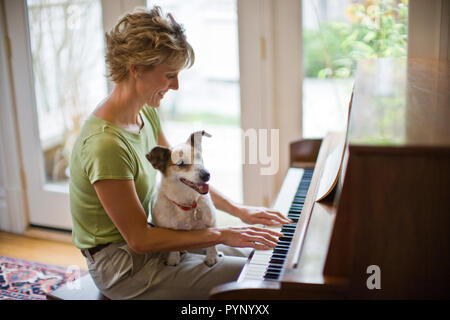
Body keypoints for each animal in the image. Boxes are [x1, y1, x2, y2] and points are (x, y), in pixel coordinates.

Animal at [146, 131, 218, 268]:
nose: (206, 175)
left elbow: (212, 243)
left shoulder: (211, 223)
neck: (187, 203)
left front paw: (211, 257)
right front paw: (173, 259)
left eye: (198, 156)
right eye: (180, 164)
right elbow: (172, 246)